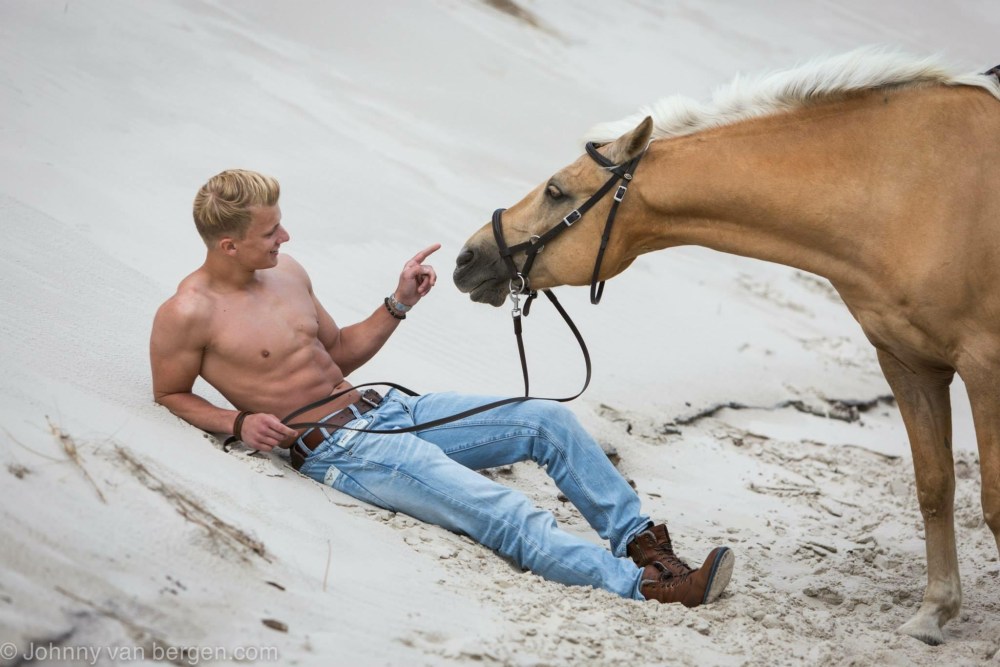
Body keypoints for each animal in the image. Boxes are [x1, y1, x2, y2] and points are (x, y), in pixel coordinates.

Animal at [452, 48, 1000, 645]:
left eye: (555, 191)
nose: (466, 258)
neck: (911, 192)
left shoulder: (984, 369)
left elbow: (992, 502)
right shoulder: (906, 363)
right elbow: (934, 488)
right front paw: (933, 614)